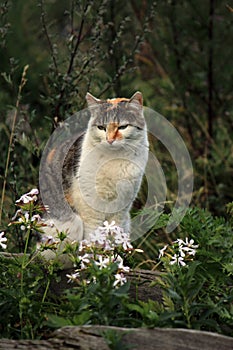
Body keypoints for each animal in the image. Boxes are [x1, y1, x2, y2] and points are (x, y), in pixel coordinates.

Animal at [39, 90, 148, 254]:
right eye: (101, 127)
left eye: (123, 127)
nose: (110, 140)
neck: (114, 161)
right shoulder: (90, 210)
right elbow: (93, 237)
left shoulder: (121, 211)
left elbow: (115, 236)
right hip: (71, 224)